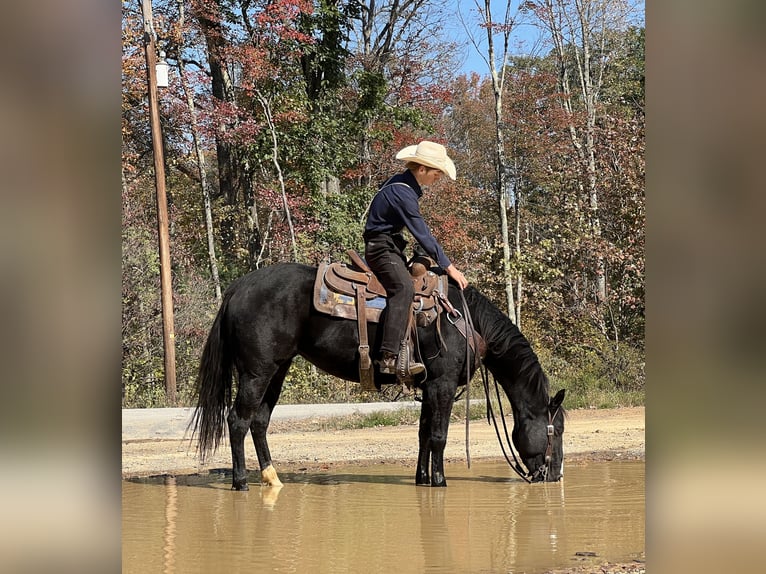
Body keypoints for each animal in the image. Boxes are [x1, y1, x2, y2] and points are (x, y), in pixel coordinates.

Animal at [192, 262, 564, 490]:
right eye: (556, 429)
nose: (555, 475)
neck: (463, 320)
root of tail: (239, 287)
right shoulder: (442, 385)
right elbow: (439, 436)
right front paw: (440, 482)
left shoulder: (428, 388)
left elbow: (423, 435)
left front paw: (422, 479)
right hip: (256, 372)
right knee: (238, 420)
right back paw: (241, 482)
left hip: (277, 371)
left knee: (259, 422)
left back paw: (272, 478)